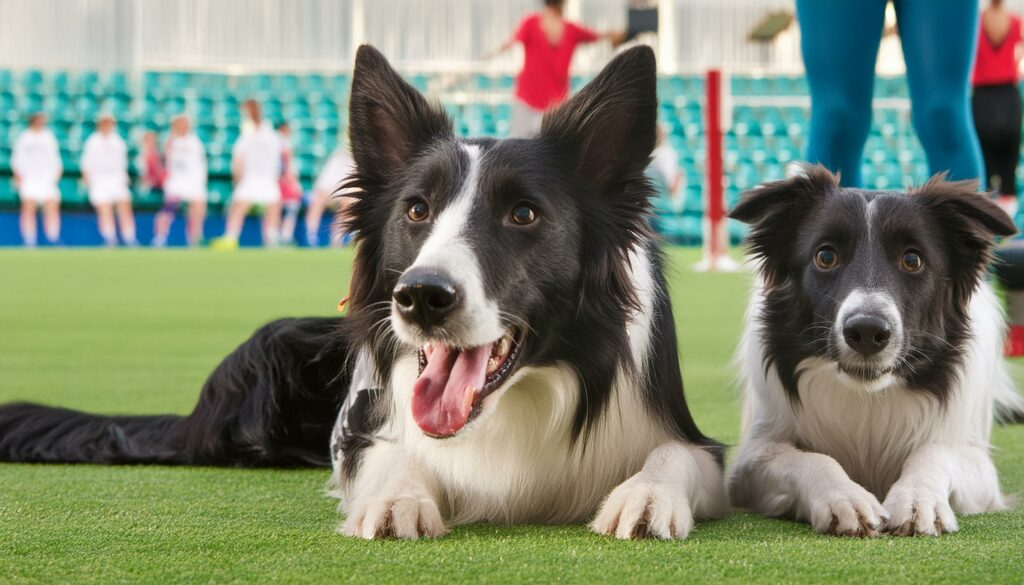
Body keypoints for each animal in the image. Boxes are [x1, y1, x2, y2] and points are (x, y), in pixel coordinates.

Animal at [729, 166, 1024, 536]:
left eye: (912, 260)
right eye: (825, 256)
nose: (867, 332)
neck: (868, 397)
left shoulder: (976, 462)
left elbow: (935, 453)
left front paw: (917, 499)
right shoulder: (750, 462)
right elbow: (809, 458)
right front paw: (843, 498)